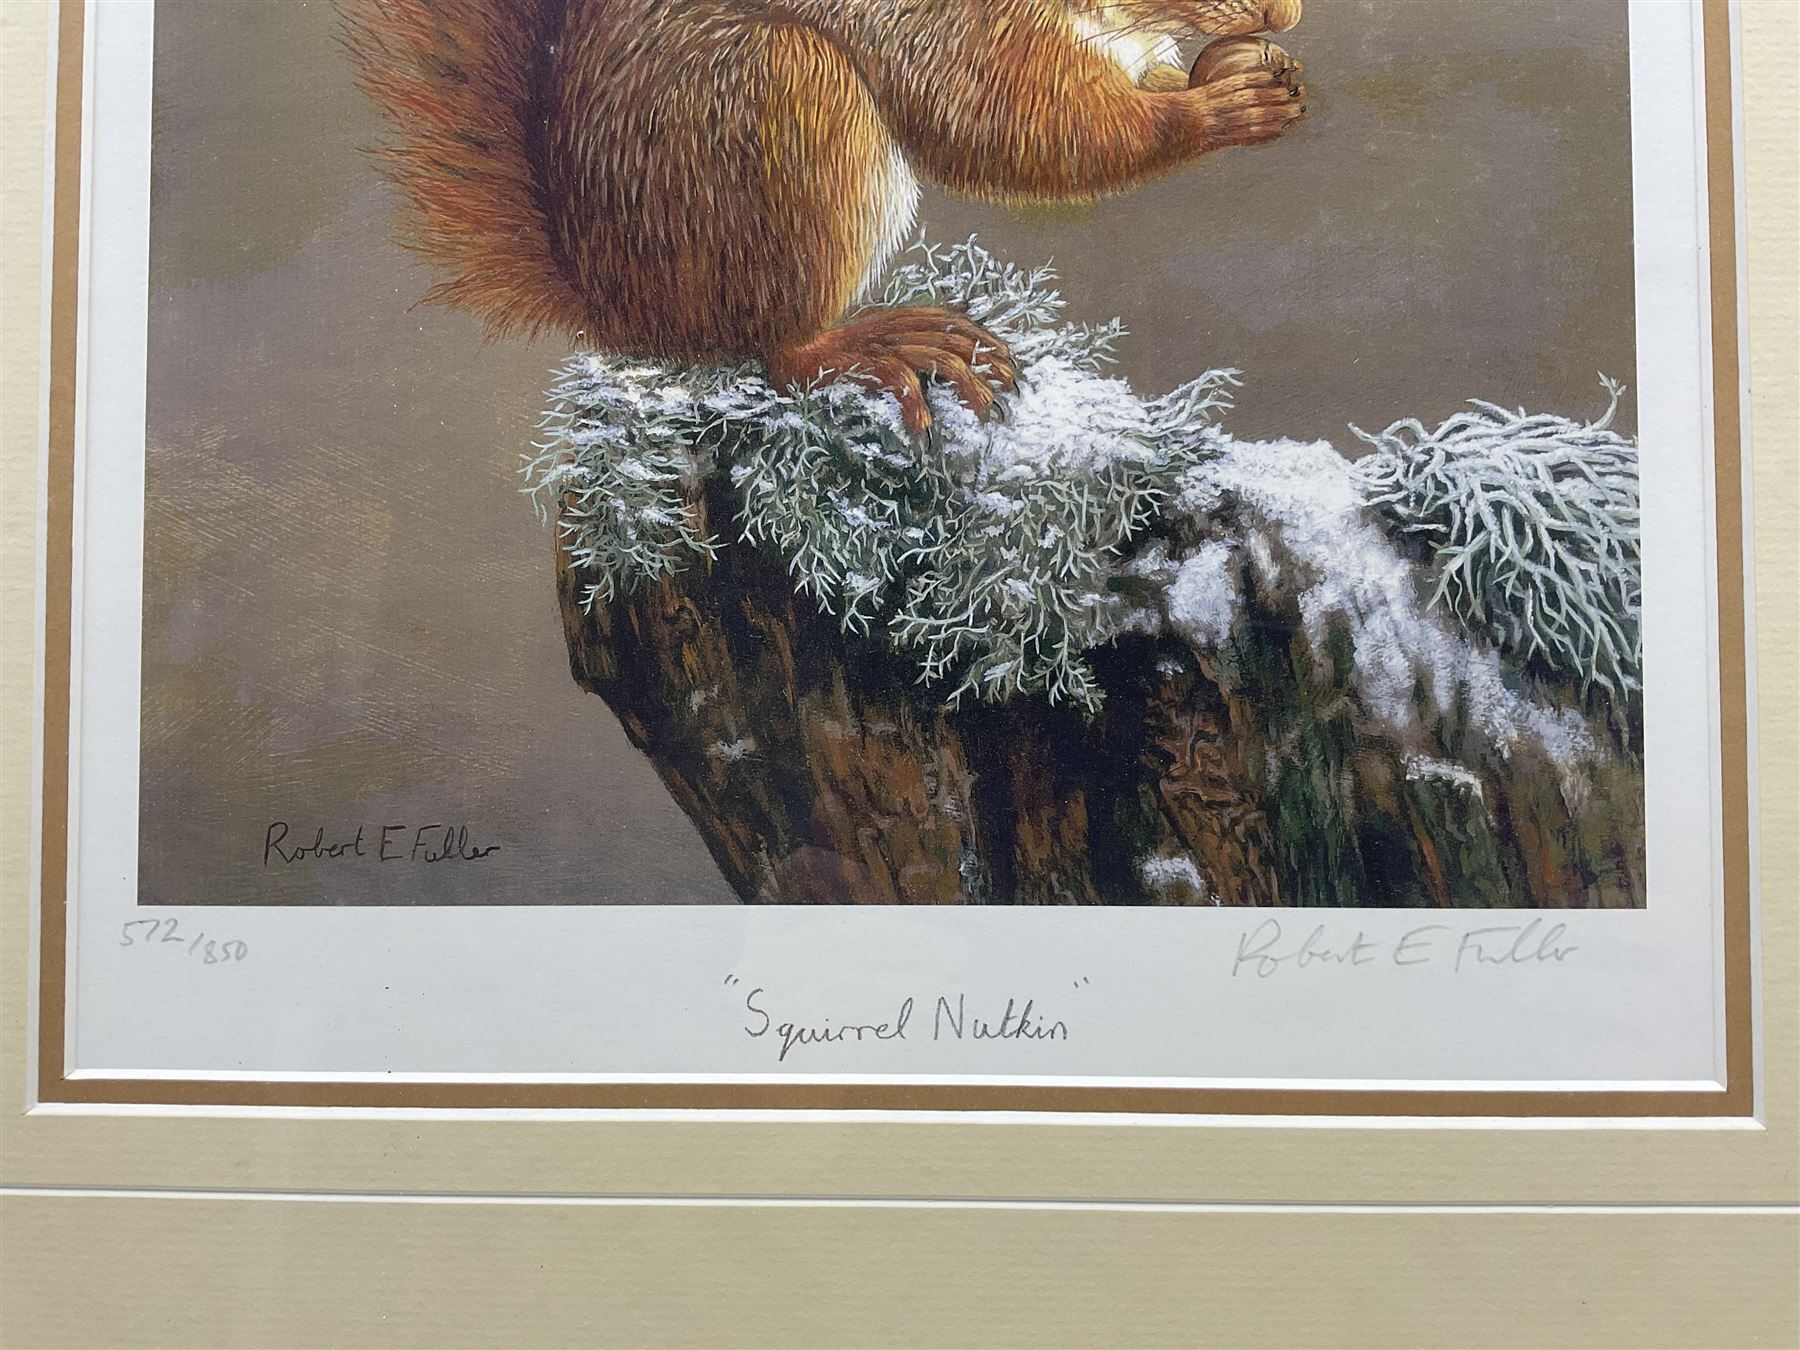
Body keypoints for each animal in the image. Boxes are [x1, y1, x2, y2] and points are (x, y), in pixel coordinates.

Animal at [340, 0, 1306, 432]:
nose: (1288, 12)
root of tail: (621, 306)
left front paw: (1244, 70)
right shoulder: (947, 33)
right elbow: (1024, 125)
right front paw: (1220, 108)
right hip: (789, 109)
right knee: (779, 354)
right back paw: (886, 343)